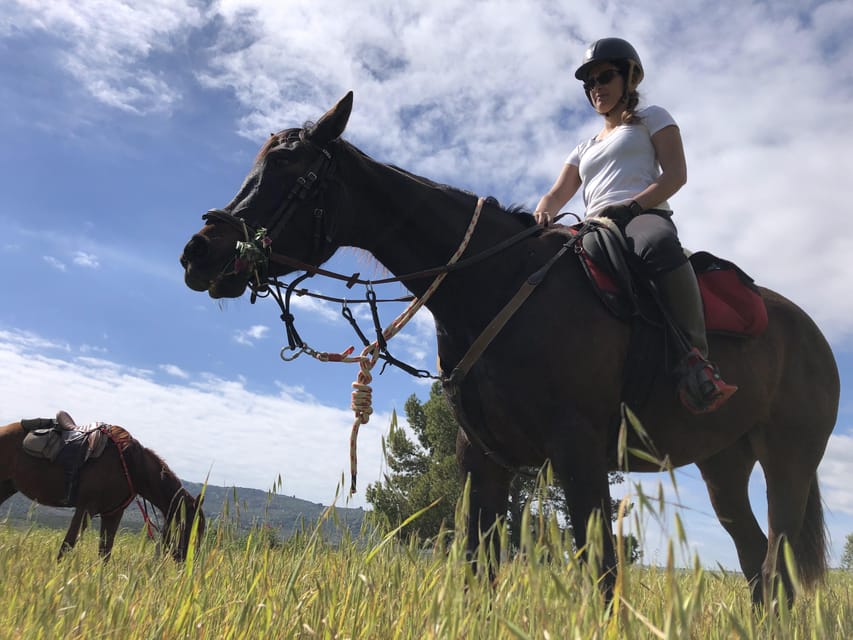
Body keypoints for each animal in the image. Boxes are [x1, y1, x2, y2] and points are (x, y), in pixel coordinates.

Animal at [0, 416, 205, 560]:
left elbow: (104, 554)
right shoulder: (85, 509)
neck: (129, 465)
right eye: (189, 527)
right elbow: (66, 548)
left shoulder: (112, 514)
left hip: (7, 487)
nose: (189, 563)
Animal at [176, 91, 836, 604]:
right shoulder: (483, 459)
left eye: (294, 174)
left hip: (788, 461)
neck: (494, 282)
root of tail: (811, 332)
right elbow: (478, 572)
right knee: (759, 569)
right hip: (724, 465)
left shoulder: (579, 453)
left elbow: (601, 575)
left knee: (777, 566)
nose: (197, 252)